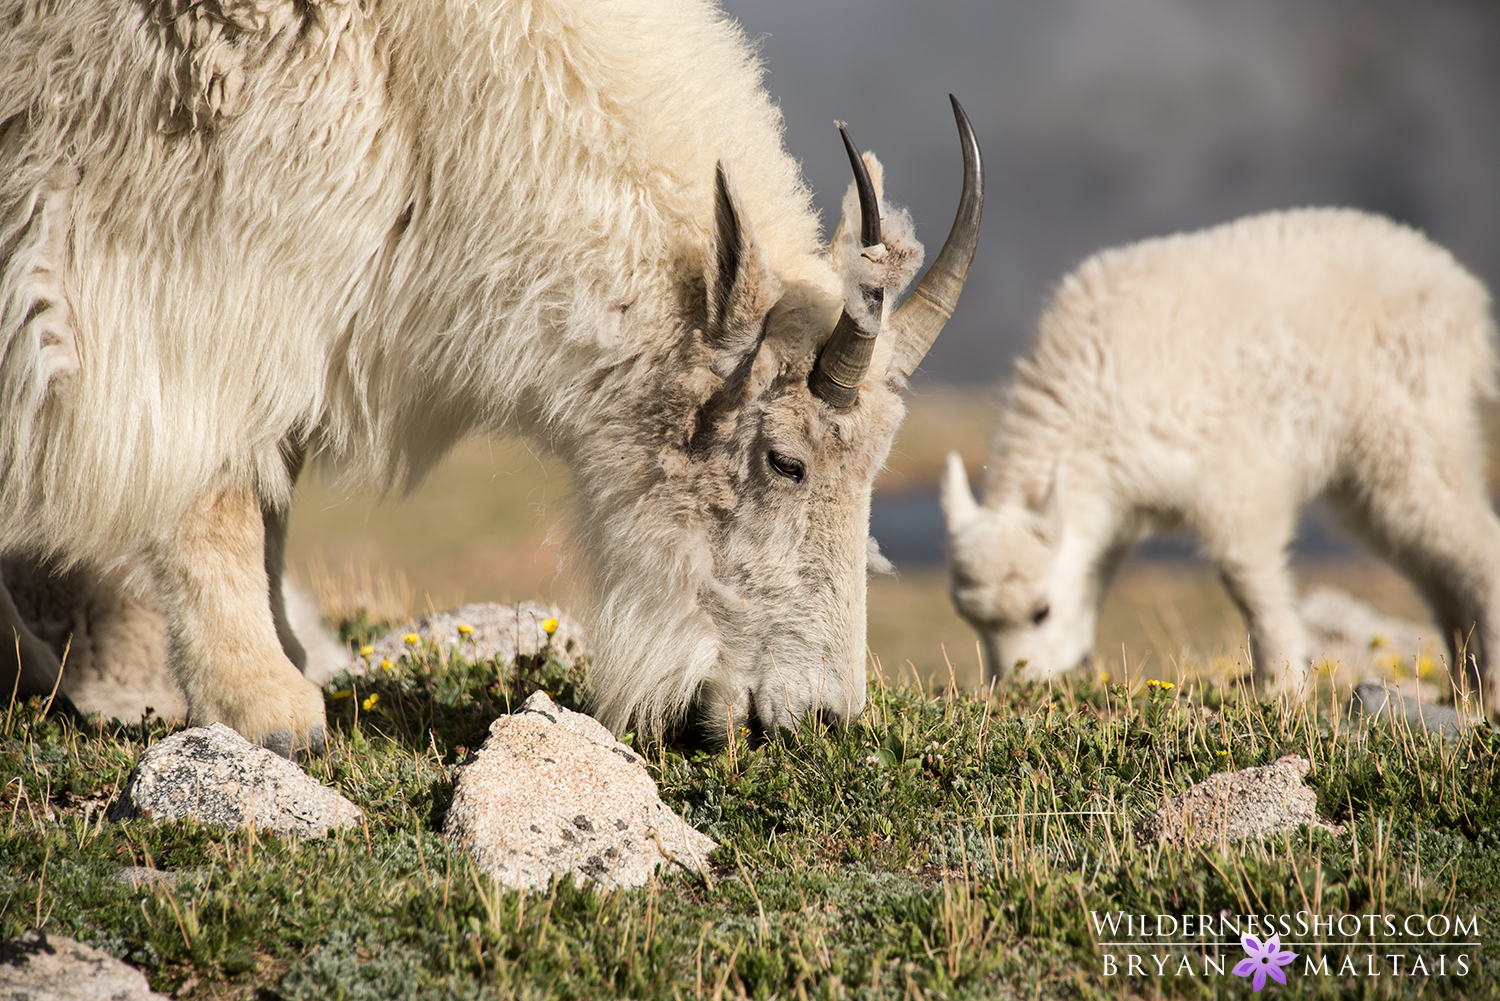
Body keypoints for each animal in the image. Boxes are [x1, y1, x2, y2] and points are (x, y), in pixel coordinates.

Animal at [0, 0, 984, 750]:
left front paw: (287, 659)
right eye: (787, 461)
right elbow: (223, 481)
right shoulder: (191, 244)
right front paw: (268, 707)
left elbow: (273, 476)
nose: (820, 718)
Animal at [942, 210, 1500, 711]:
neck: (1087, 395)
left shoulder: (1230, 468)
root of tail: (1466, 302)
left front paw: (1282, 689)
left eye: (1040, 611)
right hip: (1367, 475)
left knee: (1466, 537)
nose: (1018, 691)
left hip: (1409, 430)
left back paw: (1489, 690)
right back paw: (1461, 688)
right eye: (970, 617)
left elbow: (1244, 571)